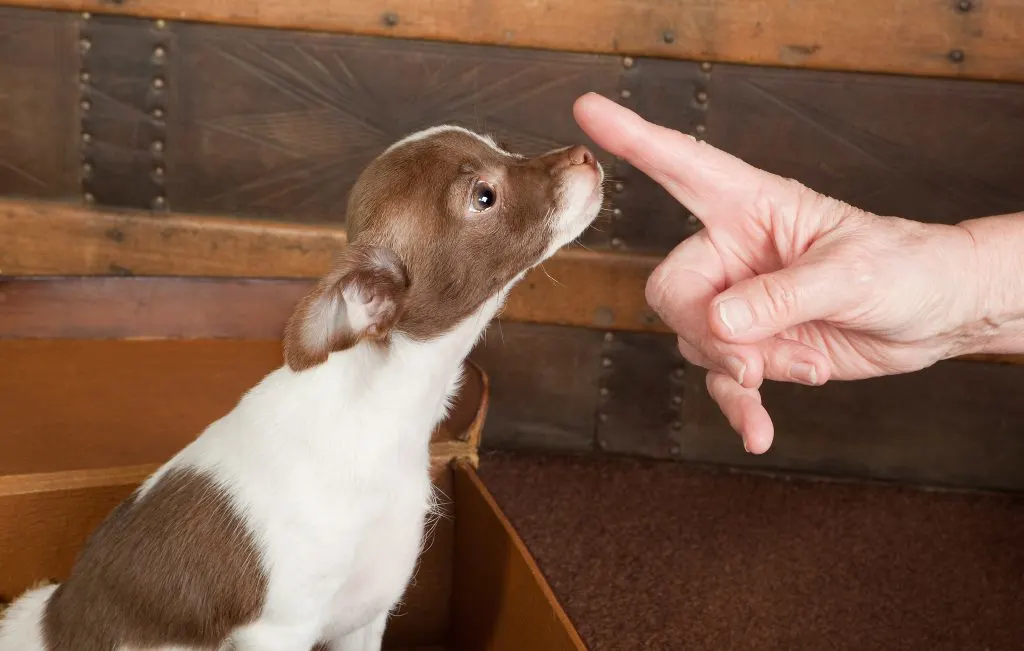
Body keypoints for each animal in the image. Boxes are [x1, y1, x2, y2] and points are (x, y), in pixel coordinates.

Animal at [0, 123, 598, 651]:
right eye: (484, 197)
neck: (383, 411)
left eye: (504, 148)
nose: (585, 155)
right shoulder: (279, 632)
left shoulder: (366, 615)